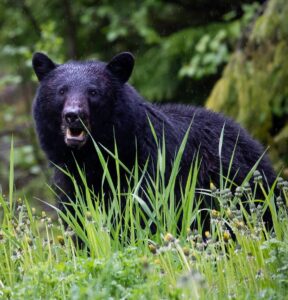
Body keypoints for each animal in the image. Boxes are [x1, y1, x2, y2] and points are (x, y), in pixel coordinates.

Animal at [32, 51, 276, 229]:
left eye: (93, 92)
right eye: (61, 91)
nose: (74, 115)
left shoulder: (152, 169)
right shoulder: (69, 180)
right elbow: (78, 219)